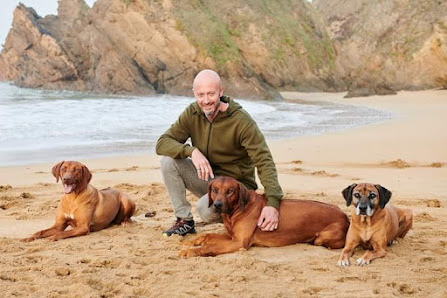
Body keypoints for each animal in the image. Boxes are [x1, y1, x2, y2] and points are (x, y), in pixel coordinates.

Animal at [178, 176, 350, 258]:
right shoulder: (233, 237)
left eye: (230, 191)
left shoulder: (239, 243)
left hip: (322, 238)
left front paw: (190, 251)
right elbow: (208, 236)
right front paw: (192, 242)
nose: (217, 205)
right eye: (214, 189)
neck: (235, 212)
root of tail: (345, 216)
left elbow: (210, 247)